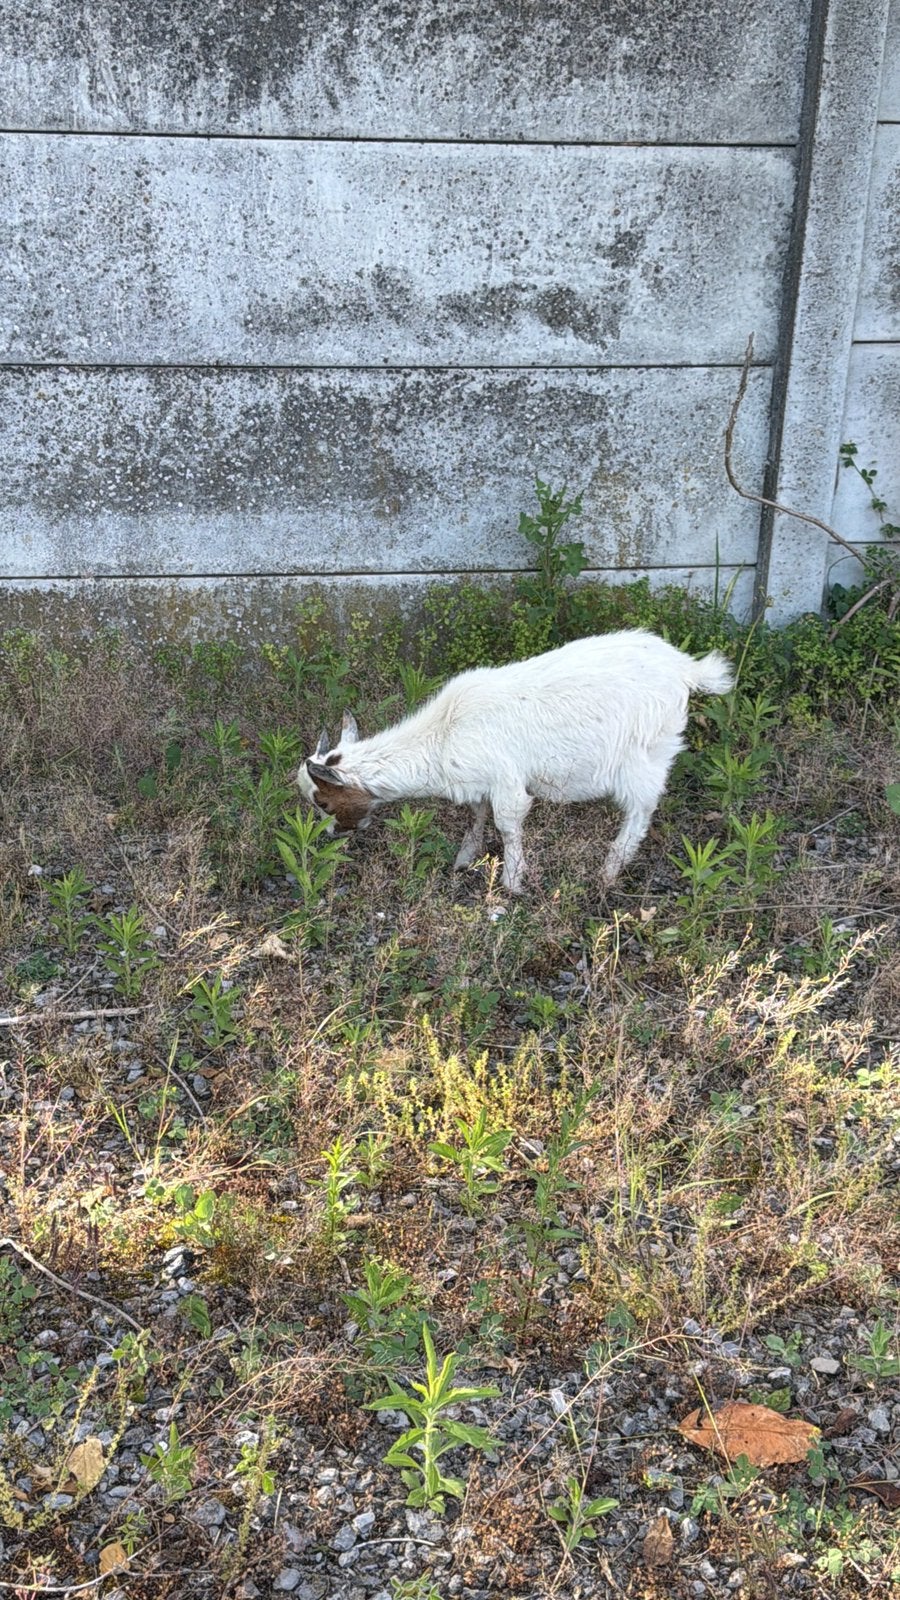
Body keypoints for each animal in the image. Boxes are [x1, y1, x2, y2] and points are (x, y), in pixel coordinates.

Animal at [297, 630, 734, 894]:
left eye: (323, 802)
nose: (328, 836)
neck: (444, 732)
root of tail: (686, 668)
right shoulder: (477, 783)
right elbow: (476, 815)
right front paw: (463, 859)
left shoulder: (507, 783)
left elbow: (508, 825)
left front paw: (511, 883)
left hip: (645, 755)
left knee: (641, 810)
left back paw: (609, 872)